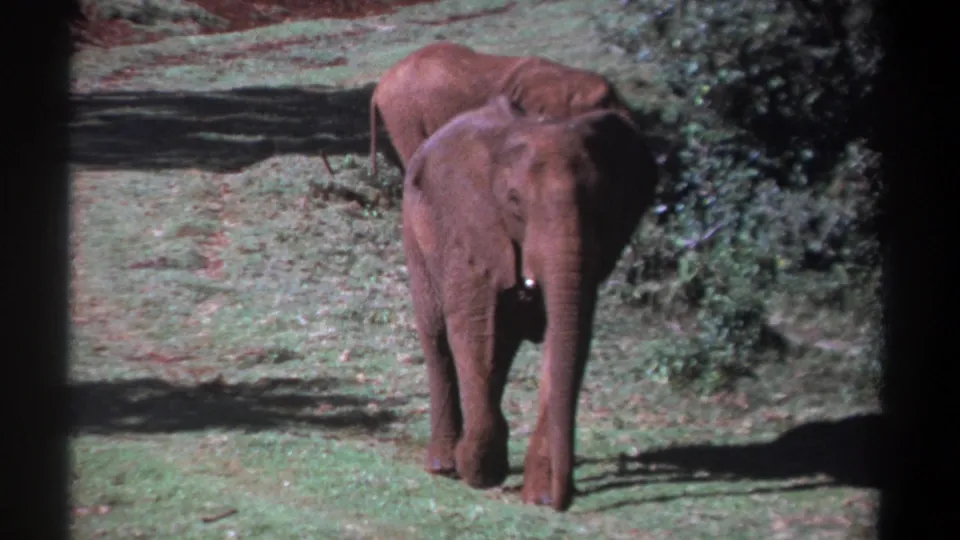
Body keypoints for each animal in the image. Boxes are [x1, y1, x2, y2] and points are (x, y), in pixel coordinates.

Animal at [400, 95, 659, 512]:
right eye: (515, 202)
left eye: (602, 203)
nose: (561, 501)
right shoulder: (472, 230)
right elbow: (472, 329)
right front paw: (478, 472)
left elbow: (565, 336)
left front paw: (536, 494)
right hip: (414, 229)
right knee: (437, 334)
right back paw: (444, 465)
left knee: (502, 346)